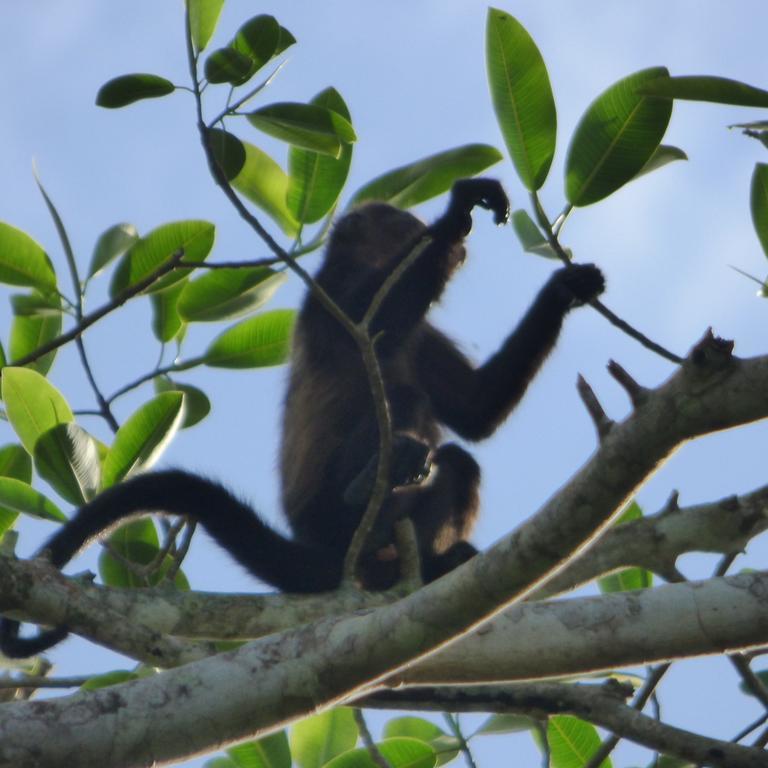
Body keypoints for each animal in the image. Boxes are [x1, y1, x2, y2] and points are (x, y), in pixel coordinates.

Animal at [0, 177, 608, 656]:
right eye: (407, 224)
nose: (454, 249)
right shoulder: (332, 301)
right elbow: (377, 323)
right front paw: (457, 213)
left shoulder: (423, 337)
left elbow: (476, 412)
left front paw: (564, 288)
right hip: (325, 518)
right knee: (399, 406)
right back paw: (369, 494)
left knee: (458, 461)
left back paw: (431, 562)